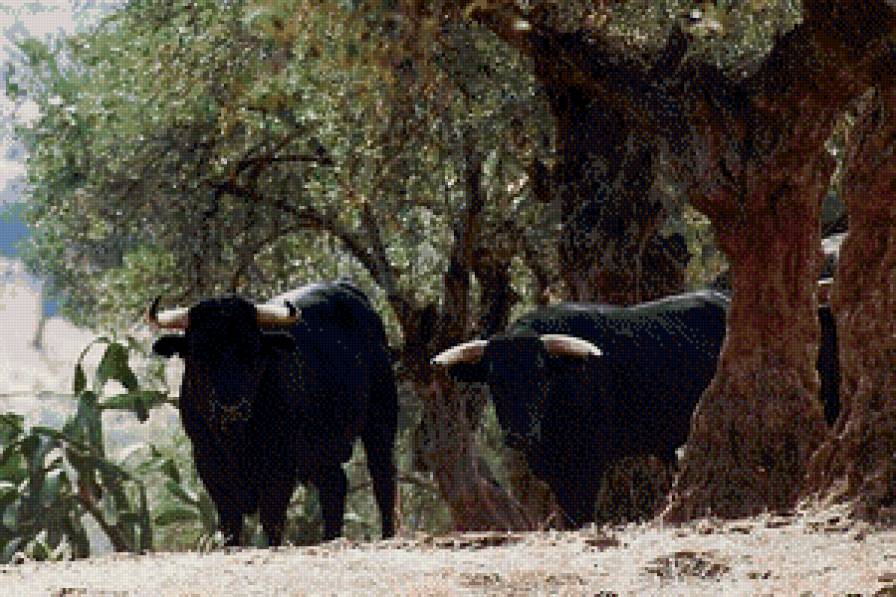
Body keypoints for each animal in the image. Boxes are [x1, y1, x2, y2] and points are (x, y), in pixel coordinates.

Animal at [148, 280, 397, 546]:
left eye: (253, 350)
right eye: (198, 353)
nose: (231, 408)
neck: (236, 439)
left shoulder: (281, 463)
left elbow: (271, 518)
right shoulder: (207, 461)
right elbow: (230, 521)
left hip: (380, 424)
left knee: (383, 480)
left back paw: (387, 535)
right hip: (321, 450)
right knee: (335, 486)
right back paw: (331, 538)